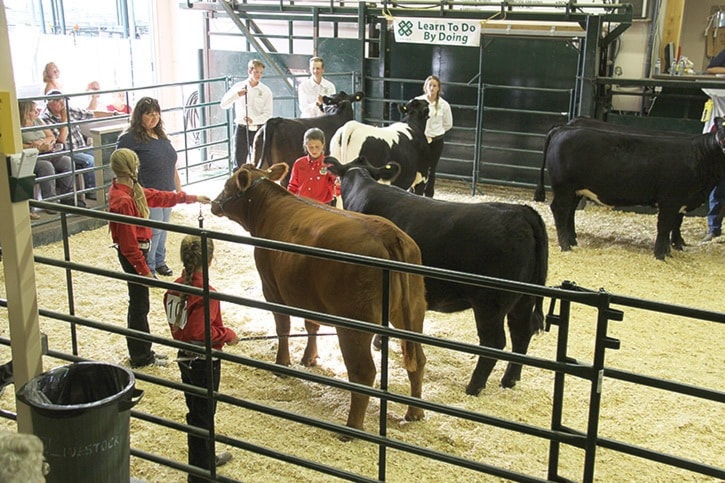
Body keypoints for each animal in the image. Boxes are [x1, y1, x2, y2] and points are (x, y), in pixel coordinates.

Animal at [209, 163, 424, 434]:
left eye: (227, 185)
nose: (213, 203)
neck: (269, 209)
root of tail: (387, 234)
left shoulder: (272, 288)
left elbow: (283, 327)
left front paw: (283, 364)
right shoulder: (306, 294)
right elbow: (311, 325)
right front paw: (309, 358)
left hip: (354, 325)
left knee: (363, 372)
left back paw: (352, 428)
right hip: (413, 314)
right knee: (419, 360)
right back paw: (414, 412)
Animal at [328, 157, 548, 396]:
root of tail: (522, 212)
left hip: (490, 303)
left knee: (495, 342)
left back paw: (474, 386)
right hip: (523, 299)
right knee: (521, 333)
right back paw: (510, 379)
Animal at [532, 118, 724, 260]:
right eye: (722, 135)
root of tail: (564, 128)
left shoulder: (680, 202)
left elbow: (673, 224)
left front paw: (671, 249)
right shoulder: (670, 200)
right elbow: (665, 226)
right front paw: (661, 254)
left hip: (576, 189)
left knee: (569, 212)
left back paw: (572, 241)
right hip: (564, 187)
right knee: (560, 210)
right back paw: (565, 245)